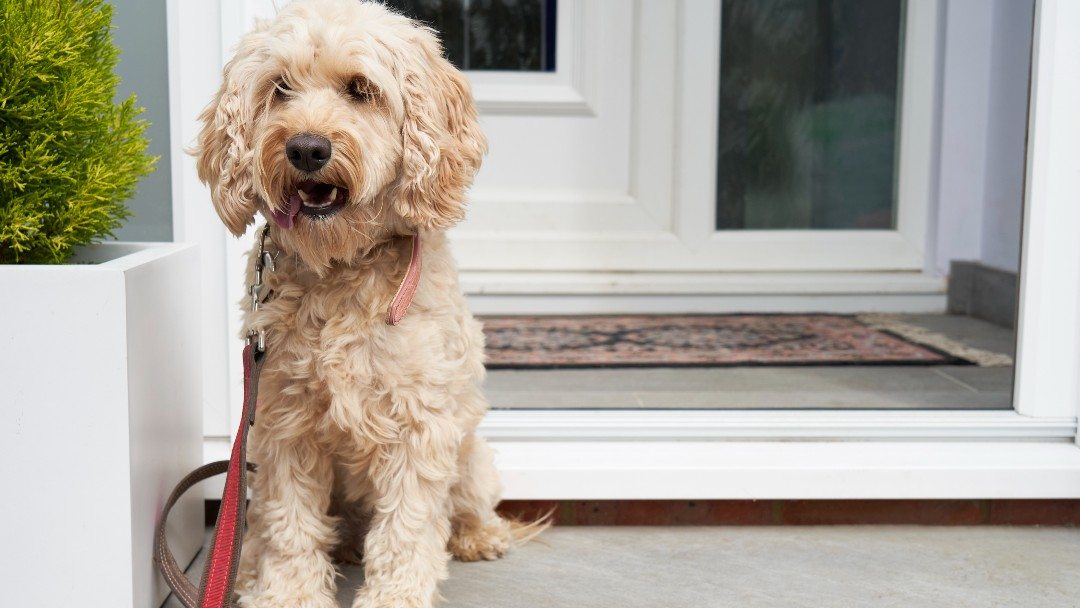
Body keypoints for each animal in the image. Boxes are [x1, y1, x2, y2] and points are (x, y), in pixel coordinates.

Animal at [192, 1, 537, 608]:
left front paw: (394, 596)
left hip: (470, 454)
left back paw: (480, 536)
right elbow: (289, 523)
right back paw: (253, 566)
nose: (306, 148)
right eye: (279, 88)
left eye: (360, 88)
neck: (341, 269)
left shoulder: (419, 425)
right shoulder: (284, 424)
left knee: (468, 504)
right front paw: (287, 594)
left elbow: (407, 527)